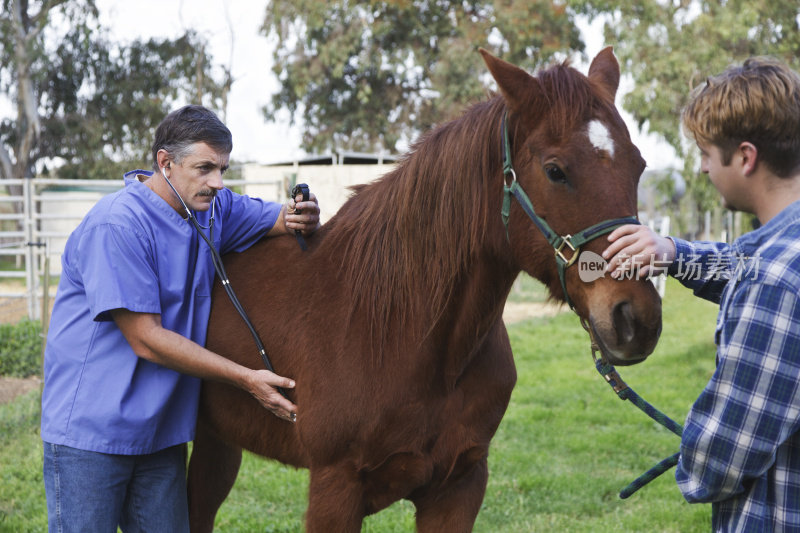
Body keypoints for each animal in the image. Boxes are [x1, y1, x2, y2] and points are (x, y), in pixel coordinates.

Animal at [188, 47, 664, 528]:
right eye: (555, 170)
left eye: (639, 165)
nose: (636, 318)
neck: (402, 329)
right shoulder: (334, 490)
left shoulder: (459, 486)